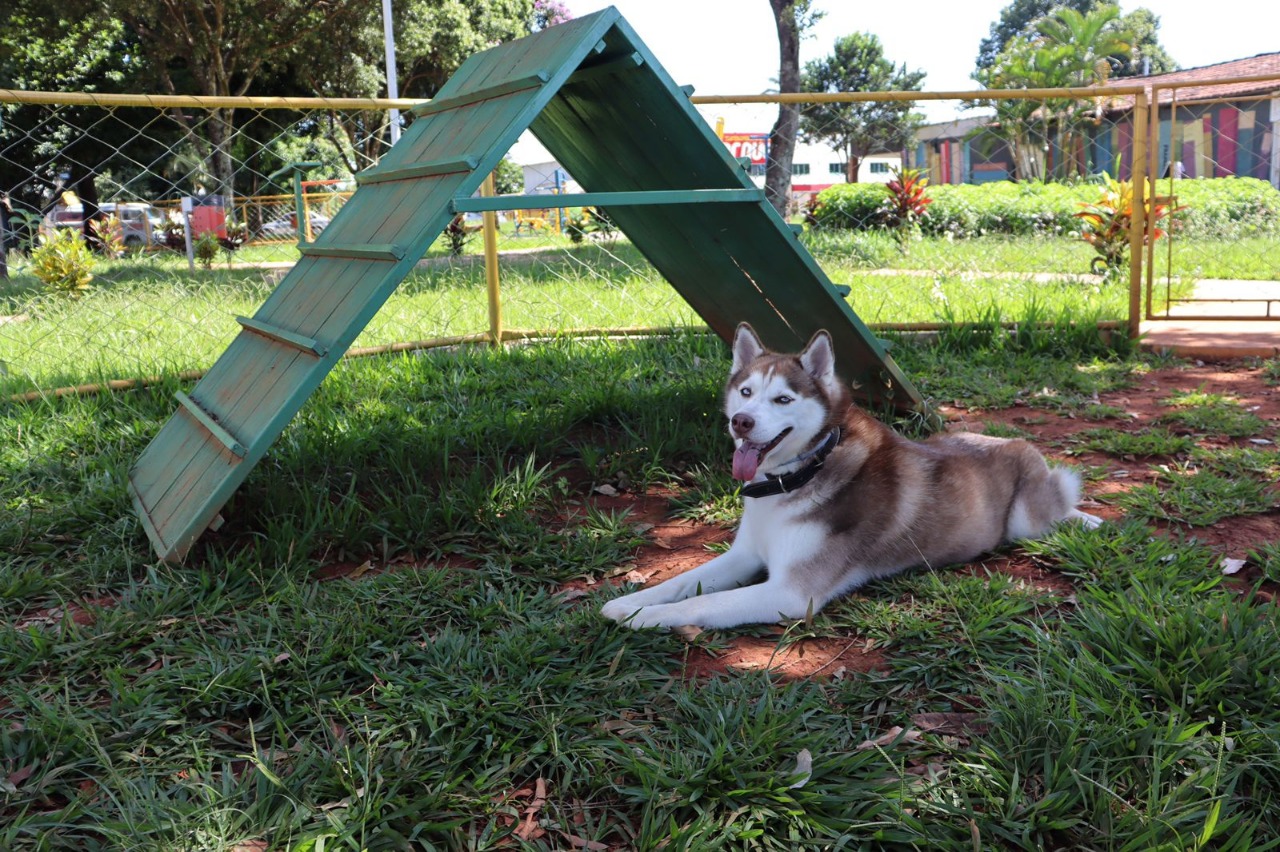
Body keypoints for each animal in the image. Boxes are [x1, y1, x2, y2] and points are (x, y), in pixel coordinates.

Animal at [599, 322, 1100, 626]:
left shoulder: (790, 592)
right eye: (745, 392)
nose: (740, 422)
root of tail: (1011, 439)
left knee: (1060, 498)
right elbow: (683, 582)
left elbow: (704, 602)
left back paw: (1088, 518)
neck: (797, 477)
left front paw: (644, 618)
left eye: (783, 399)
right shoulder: (744, 556)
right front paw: (629, 601)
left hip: (1026, 518)